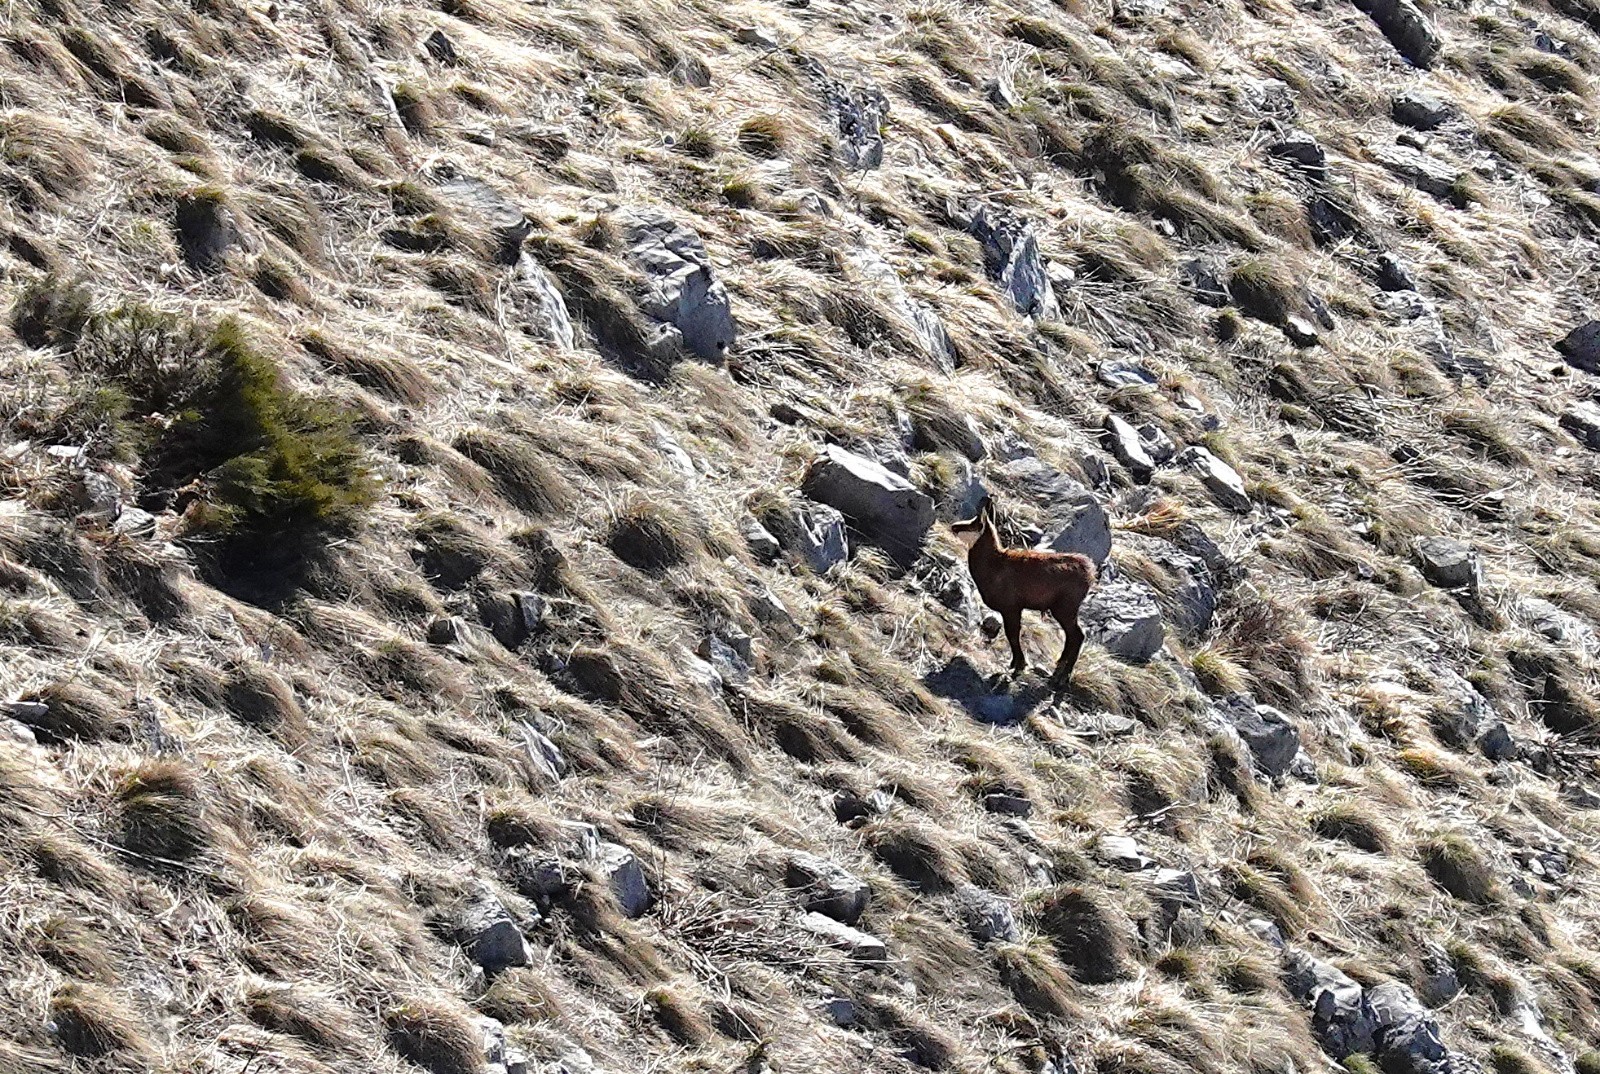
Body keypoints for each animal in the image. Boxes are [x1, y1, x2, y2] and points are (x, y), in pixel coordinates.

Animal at [951, 496, 1097, 683]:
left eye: (973, 524)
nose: (953, 527)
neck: (993, 565)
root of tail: (1089, 572)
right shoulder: (1013, 609)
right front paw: (1016, 663)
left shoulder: (1011, 607)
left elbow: (1012, 634)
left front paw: (1019, 665)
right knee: (1072, 636)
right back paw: (1059, 665)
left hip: (1065, 607)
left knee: (1078, 635)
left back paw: (1063, 676)